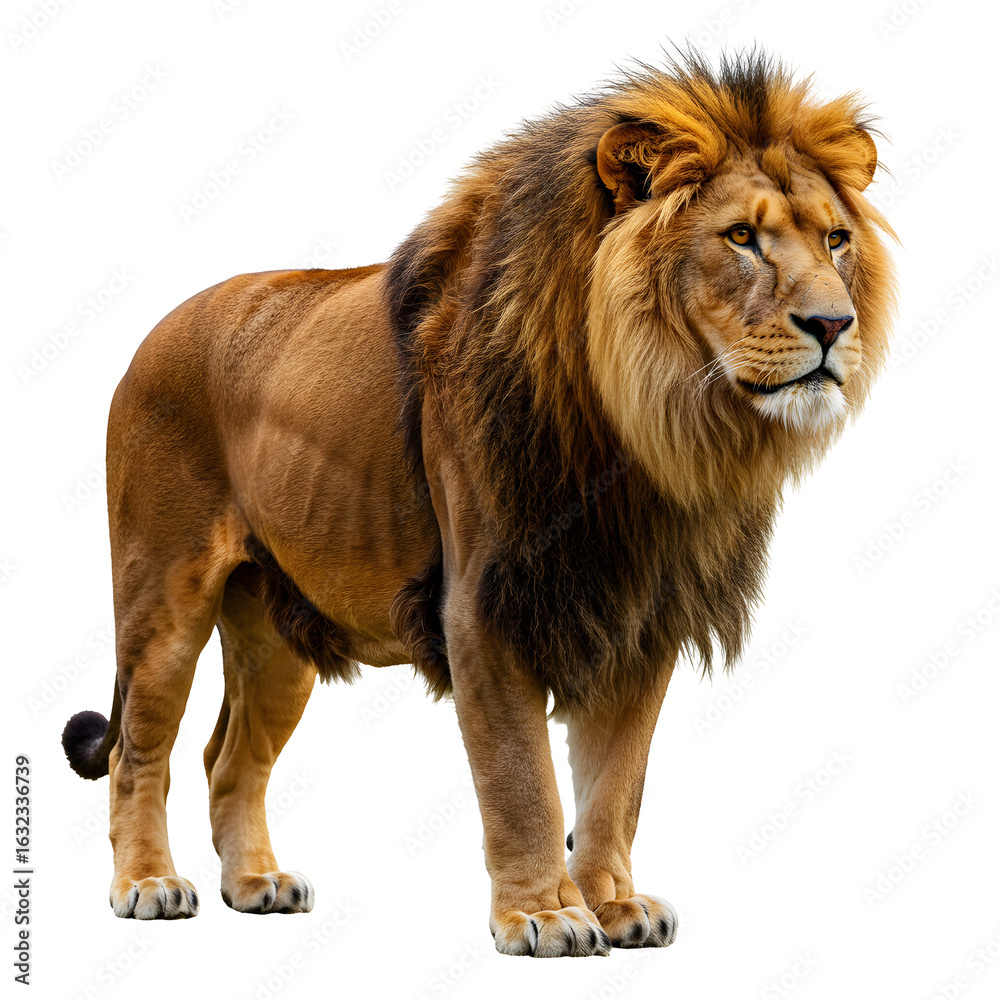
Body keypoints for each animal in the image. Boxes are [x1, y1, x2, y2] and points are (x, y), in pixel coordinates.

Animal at [61, 49, 896, 957]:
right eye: (741, 236)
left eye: (837, 239)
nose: (833, 324)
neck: (647, 431)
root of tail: (154, 333)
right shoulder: (484, 608)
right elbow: (521, 778)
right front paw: (544, 915)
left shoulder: (641, 614)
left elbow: (617, 784)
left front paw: (612, 903)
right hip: (162, 598)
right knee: (140, 752)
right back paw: (148, 883)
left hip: (278, 630)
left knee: (229, 758)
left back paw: (257, 884)